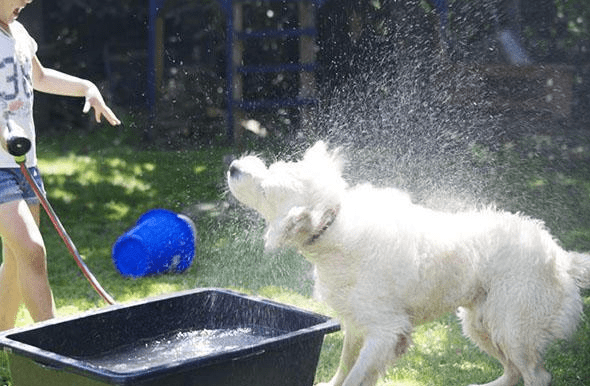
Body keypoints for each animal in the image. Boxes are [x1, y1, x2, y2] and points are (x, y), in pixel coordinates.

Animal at [228, 142, 590, 386]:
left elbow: (354, 375)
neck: (332, 227)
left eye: (265, 188)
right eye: (271, 169)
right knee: (514, 373)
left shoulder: (384, 331)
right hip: (480, 324)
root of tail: (559, 253)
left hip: (512, 327)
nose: (233, 166)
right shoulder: (356, 324)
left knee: (536, 376)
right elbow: (344, 367)